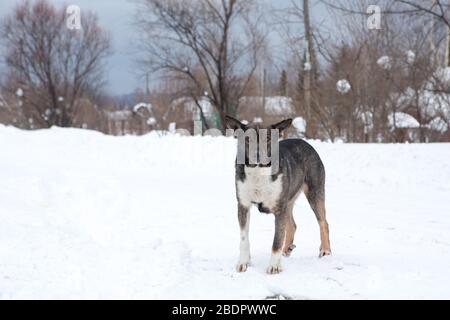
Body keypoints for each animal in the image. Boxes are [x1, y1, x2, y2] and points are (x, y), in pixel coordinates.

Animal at [225, 116, 330, 274]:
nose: (257, 156)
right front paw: (243, 262)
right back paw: (286, 249)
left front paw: (274, 265)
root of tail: (305, 143)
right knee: (292, 225)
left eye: (268, 138)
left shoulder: (279, 209)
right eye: (248, 139)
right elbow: (244, 239)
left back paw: (325, 250)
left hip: (314, 192)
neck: (259, 173)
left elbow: (277, 239)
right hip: (289, 201)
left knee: (323, 222)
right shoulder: (243, 205)